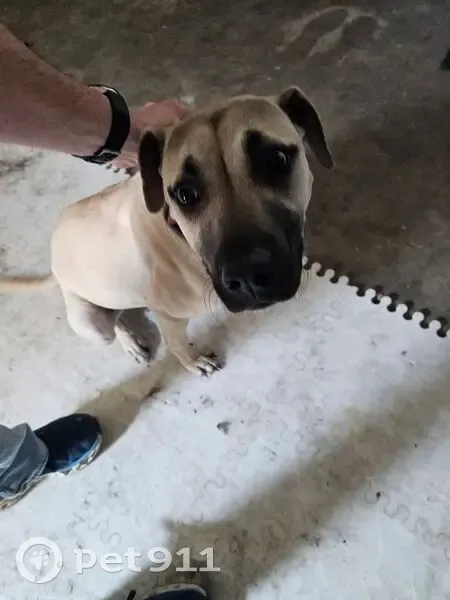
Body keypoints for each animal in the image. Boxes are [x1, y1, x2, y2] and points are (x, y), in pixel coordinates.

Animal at [0, 86, 333, 376]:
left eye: (276, 160)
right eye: (184, 194)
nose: (247, 277)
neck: (182, 239)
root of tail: (53, 260)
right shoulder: (170, 318)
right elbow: (178, 345)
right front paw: (194, 361)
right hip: (93, 323)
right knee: (113, 322)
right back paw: (131, 342)